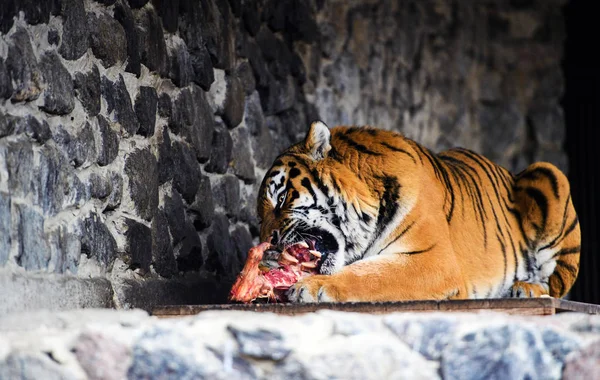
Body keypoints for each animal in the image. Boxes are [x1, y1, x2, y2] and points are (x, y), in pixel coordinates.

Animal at [258, 120, 580, 302]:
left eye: (282, 197)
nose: (267, 242)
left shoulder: (433, 260)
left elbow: (370, 274)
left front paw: (311, 287)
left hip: (548, 173)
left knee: (555, 283)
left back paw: (526, 288)